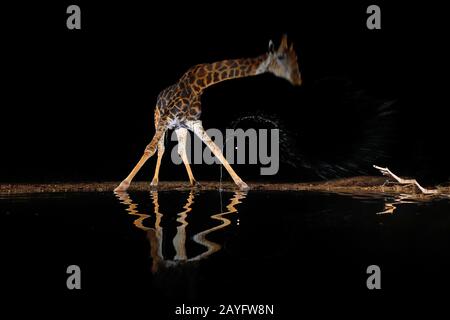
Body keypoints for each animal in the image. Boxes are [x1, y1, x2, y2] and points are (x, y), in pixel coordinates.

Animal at [114, 34, 300, 192]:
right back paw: (154, 182)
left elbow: (215, 148)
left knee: (180, 150)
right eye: (281, 57)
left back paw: (194, 182)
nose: (298, 79)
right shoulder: (167, 117)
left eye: (296, 58)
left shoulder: (194, 122)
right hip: (158, 118)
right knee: (160, 148)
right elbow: (150, 148)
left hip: (180, 127)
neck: (199, 84)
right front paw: (122, 185)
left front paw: (242, 184)